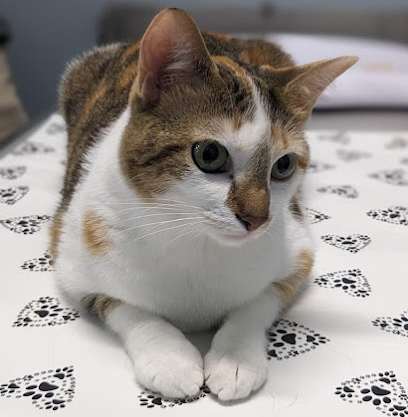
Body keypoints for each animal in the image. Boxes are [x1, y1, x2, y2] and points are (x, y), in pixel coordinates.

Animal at [50, 8, 356, 402]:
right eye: (210, 154)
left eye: (283, 166)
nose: (257, 218)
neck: (196, 243)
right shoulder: (74, 259)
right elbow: (125, 308)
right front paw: (169, 358)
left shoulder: (297, 251)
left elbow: (259, 302)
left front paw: (235, 358)